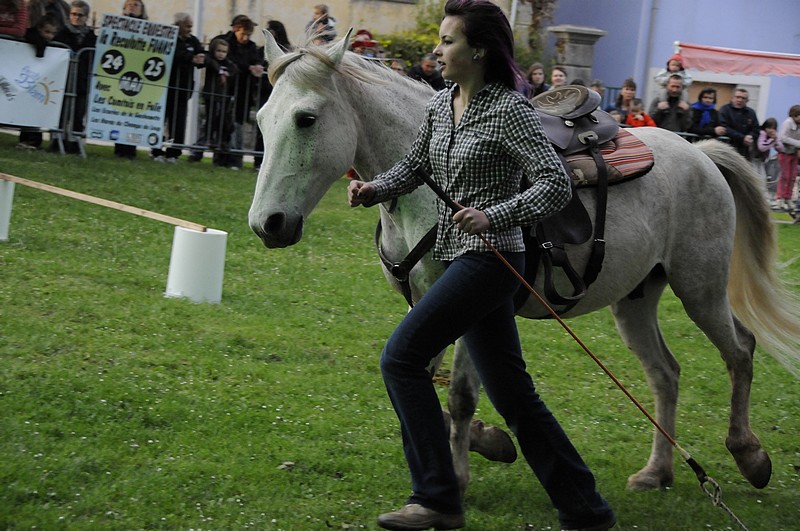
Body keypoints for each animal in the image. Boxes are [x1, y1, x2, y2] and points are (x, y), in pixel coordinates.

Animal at [248, 30, 800, 495]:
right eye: (260, 120)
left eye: (306, 118)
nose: (266, 223)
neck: (436, 184)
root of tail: (701, 151)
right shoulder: (424, 306)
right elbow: (424, 379)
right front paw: (489, 440)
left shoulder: (470, 306)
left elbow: (460, 395)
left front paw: (463, 470)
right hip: (635, 300)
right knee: (666, 373)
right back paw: (658, 471)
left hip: (700, 288)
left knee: (740, 351)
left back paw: (749, 455)